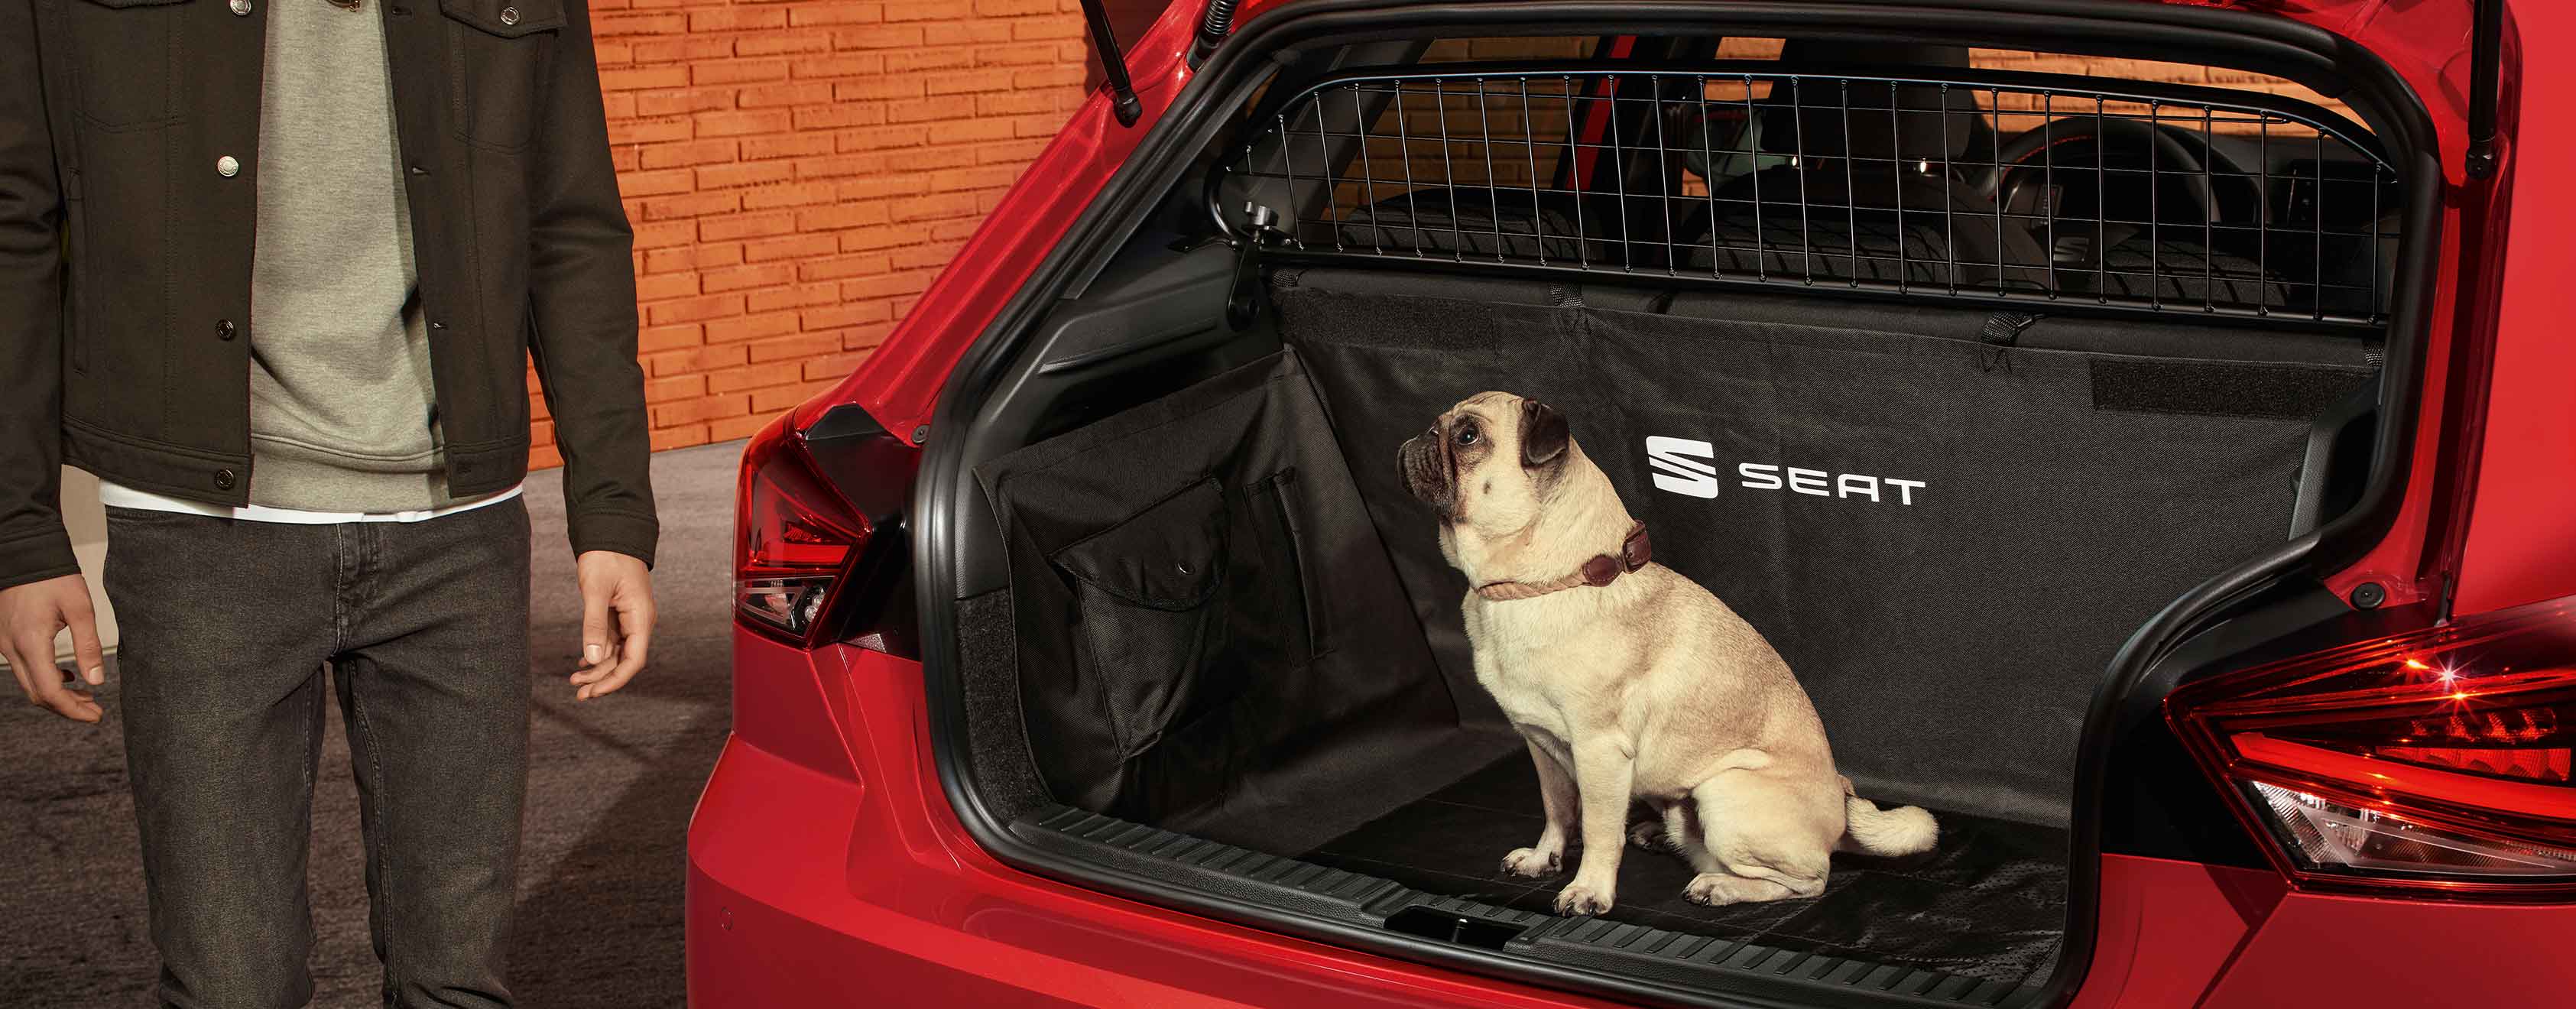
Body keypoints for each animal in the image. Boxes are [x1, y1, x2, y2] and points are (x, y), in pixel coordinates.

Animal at [1411, 391, 1937, 916]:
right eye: (1441, 426)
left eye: (1468, 436)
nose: (1425, 435)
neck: (1544, 583)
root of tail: (1841, 803)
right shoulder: (1541, 746)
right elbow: (1558, 810)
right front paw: (1545, 859)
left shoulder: (1599, 750)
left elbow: (1598, 830)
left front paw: (1589, 889)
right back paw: (1661, 836)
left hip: (1723, 792)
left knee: (1809, 881)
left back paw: (1720, 886)